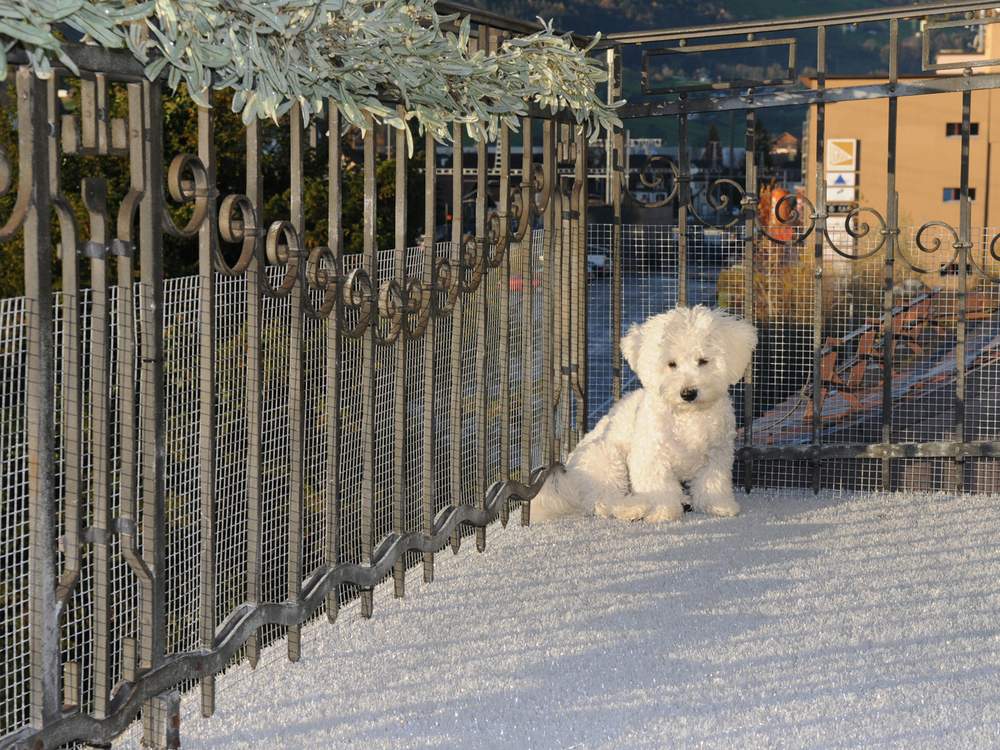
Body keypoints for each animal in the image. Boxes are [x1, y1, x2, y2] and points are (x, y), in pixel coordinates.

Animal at [532, 306, 756, 524]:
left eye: (703, 361)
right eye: (671, 364)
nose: (688, 393)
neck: (687, 415)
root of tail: (568, 480)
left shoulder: (717, 455)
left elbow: (712, 484)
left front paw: (719, 506)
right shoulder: (651, 457)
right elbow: (660, 489)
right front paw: (663, 513)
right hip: (607, 459)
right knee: (604, 501)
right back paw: (633, 508)